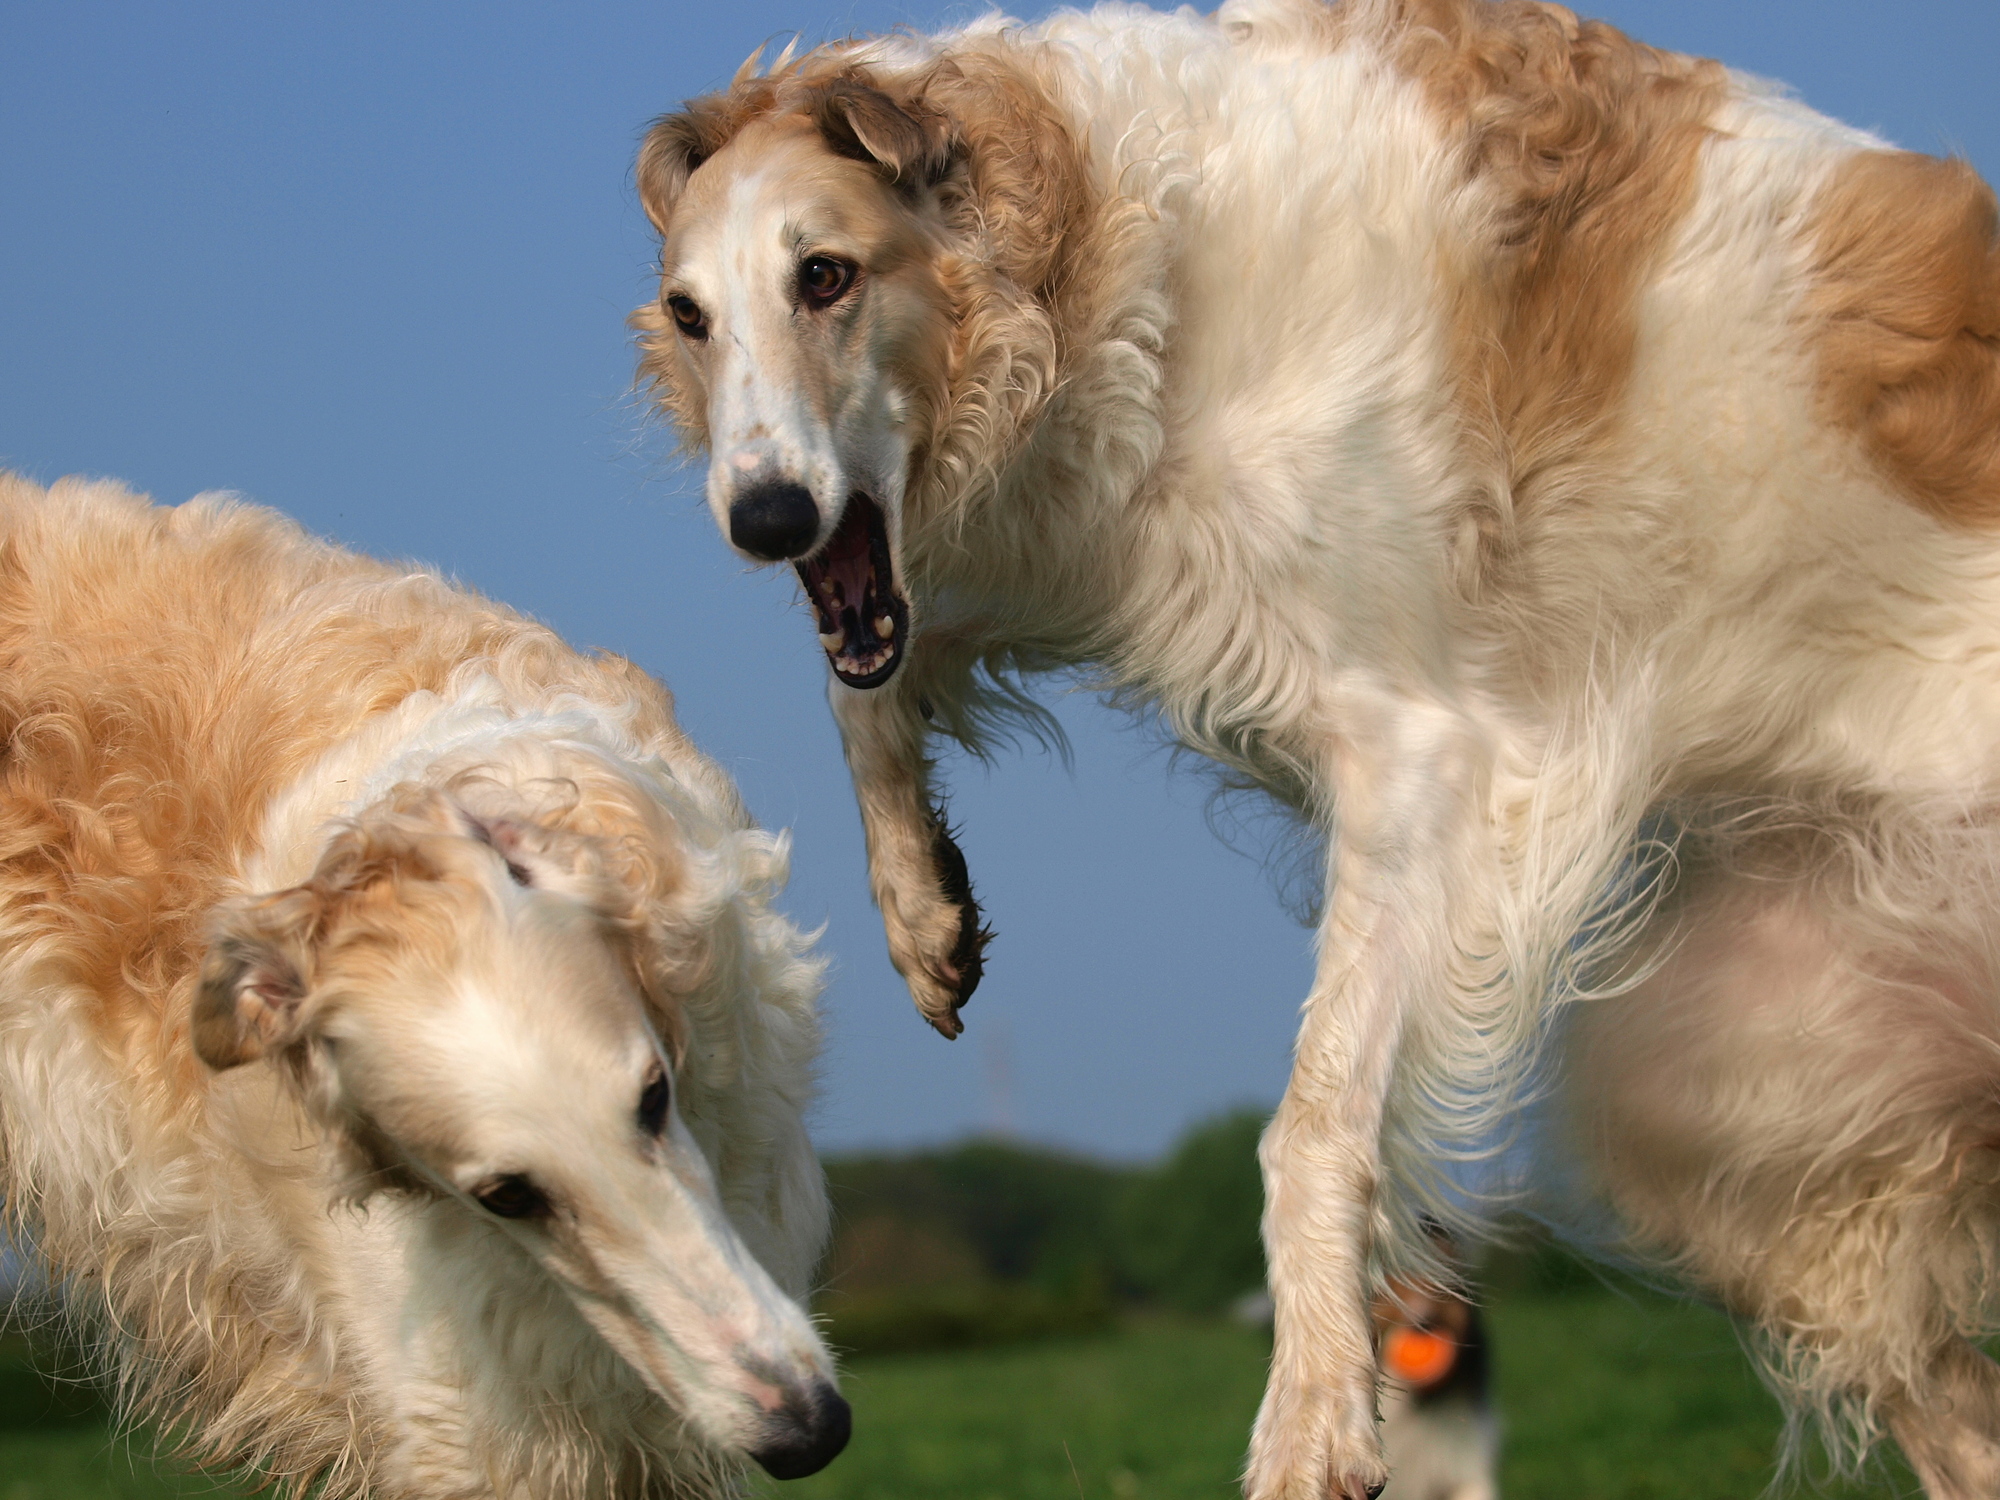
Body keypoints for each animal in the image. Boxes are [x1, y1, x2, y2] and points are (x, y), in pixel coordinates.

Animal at [636, 0, 2000, 1496]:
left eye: (824, 275)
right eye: (691, 314)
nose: (761, 518)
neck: (1149, 257)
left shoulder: (1423, 755)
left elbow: (1311, 1129)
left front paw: (1314, 1419)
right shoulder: (1088, 563)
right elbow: (867, 688)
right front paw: (924, 916)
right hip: (1741, 1136)